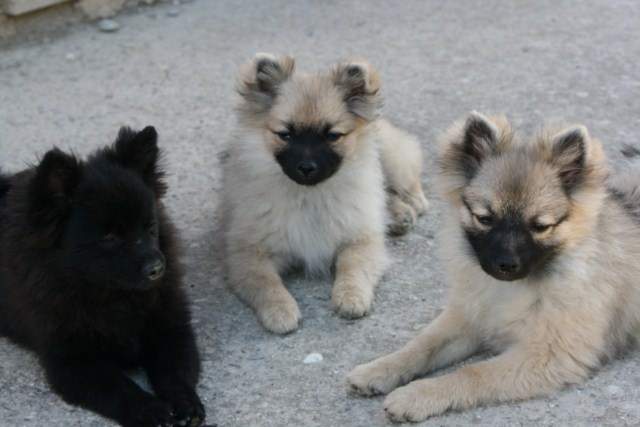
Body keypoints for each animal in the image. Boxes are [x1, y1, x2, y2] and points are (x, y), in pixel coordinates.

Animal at [0, 128, 205, 427]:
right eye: (109, 239)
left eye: (150, 227)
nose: (157, 268)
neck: (112, 296)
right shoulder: (74, 362)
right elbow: (119, 388)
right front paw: (150, 410)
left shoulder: (172, 331)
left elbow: (175, 373)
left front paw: (185, 403)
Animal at [222, 53, 428, 334]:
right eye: (285, 134)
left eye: (332, 136)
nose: (306, 167)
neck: (309, 196)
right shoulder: (249, 254)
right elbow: (265, 282)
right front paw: (280, 310)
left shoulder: (359, 239)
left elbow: (353, 268)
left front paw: (351, 296)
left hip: (391, 155)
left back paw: (411, 204)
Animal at [350, 112, 640, 422]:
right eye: (484, 218)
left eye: (539, 226)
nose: (506, 264)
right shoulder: (468, 317)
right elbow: (422, 345)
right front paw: (380, 368)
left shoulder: (545, 356)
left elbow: (472, 373)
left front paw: (417, 395)